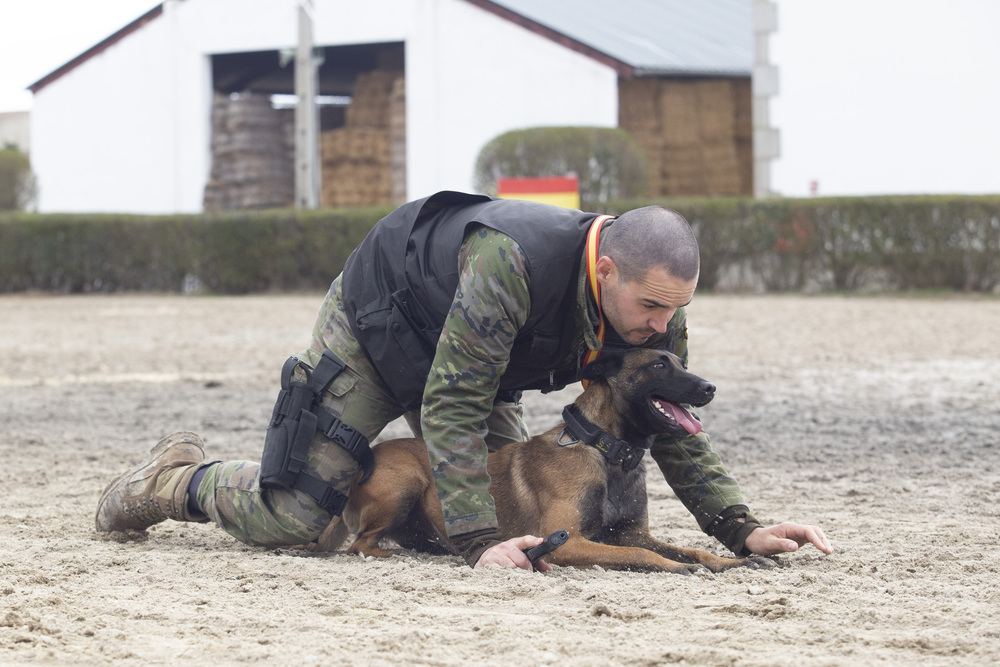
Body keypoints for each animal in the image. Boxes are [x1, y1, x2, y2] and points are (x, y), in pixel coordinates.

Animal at [312, 350, 772, 576]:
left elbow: (692, 548)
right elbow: (645, 556)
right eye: (659, 364)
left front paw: (736, 560)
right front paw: (680, 568)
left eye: (682, 364)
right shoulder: (569, 541)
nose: (709, 387)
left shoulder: (631, 532)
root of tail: (365, 459)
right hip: (406, 482)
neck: (607, 451)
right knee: (360, 544)